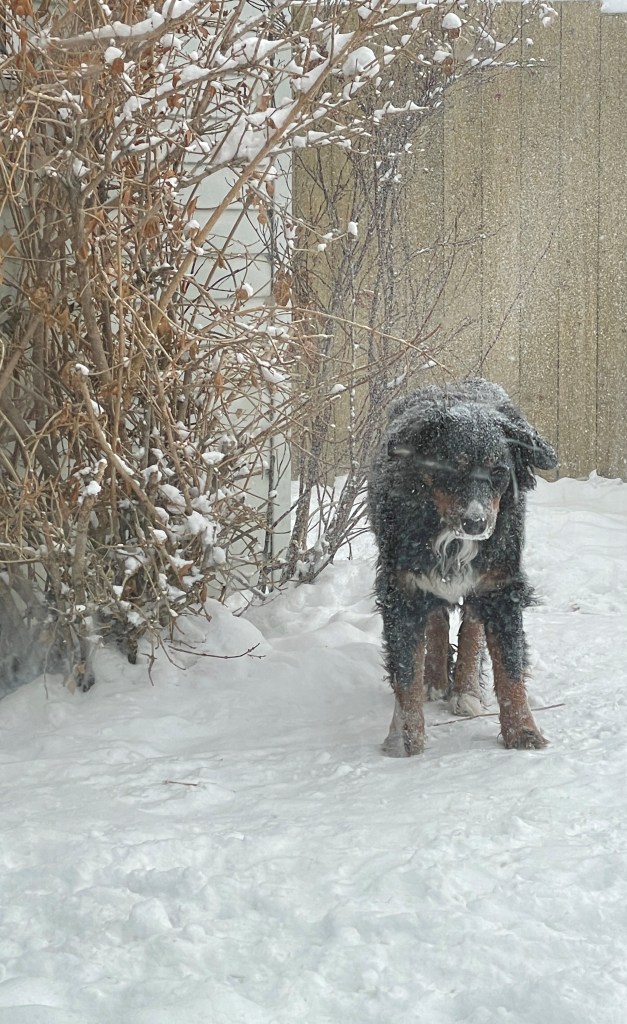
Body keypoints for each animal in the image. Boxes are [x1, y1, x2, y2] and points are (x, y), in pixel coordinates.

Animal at [368, 378, 558, 757]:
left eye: (499, 471)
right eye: (451, 468)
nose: (476, 522)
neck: (450, 538)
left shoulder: (501, 589)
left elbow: (510, 668)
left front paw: (522, 730)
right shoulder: (402, 590)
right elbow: (406, 671)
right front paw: (404, 739)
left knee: (471, 625)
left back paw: (466, 689)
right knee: (438, 620)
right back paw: (436, 679)